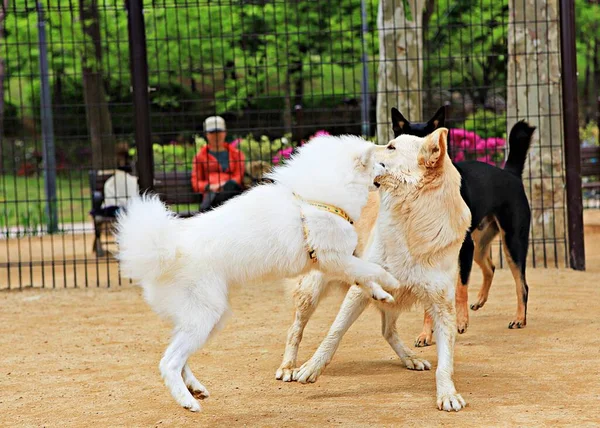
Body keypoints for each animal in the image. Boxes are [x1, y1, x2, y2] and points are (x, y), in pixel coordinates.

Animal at [115, 136, 400, 412]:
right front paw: (392, 281)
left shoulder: (337, 263)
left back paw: (195, 388)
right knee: (169, 362)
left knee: (179, 356)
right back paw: (188, 402)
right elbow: (374, 269)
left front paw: (382, 294)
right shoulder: (334, 258)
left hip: (206, 319)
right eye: (377, 163)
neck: (318, 199)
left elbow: (365, 277)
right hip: (204, 317)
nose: (386, 168)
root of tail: (167, 250)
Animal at [276, 130, 474, 412]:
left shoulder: (442, 304)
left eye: (391, 147)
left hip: (395, 297)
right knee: (295, 329)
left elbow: (445, 361)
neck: (411, 224)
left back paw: (410, 358)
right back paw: (288, 366)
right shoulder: (359, 291)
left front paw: (447, 393)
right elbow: (333, 333)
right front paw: (311, 368)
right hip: (310, 292)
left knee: (388, 331)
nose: (359, 151)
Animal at [390, 107, 536, 348]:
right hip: (480, 243)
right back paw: (480, 301)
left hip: (512, 242)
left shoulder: (464, 249)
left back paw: (519, 319)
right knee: (490, 267)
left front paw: (460, 323)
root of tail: (510, 173)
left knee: (522, 285)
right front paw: (426, 334)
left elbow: (460, 288)